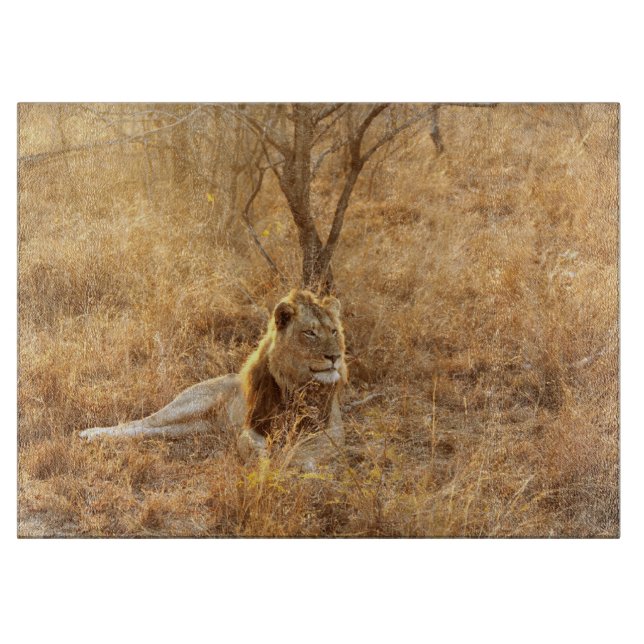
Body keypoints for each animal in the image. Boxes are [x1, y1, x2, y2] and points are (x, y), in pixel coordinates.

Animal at [79, 289, 347, 471]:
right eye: (309, 333)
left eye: (334, 331)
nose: (335, 356)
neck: (299, 386)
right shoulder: (252, 427)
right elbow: (250, 446)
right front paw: (266, 464)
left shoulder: (333, 432)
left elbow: (310, 450)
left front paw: (298, 463)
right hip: (189, 405)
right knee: (141, 422)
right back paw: (92, 433)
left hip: (191, 427)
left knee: (150, 430)